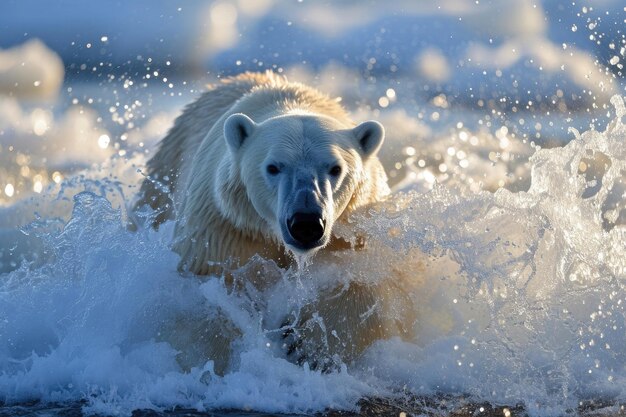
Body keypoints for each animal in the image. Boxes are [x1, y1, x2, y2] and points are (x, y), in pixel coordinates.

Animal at [134, 71, 412, 374]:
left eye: (335, 168)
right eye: (273, 167)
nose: (306, 223)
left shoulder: (357, 225)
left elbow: (372, 280)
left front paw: (311, 347)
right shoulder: (228, 226)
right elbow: (202, 287)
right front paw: (214, 356)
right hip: (165, 172)